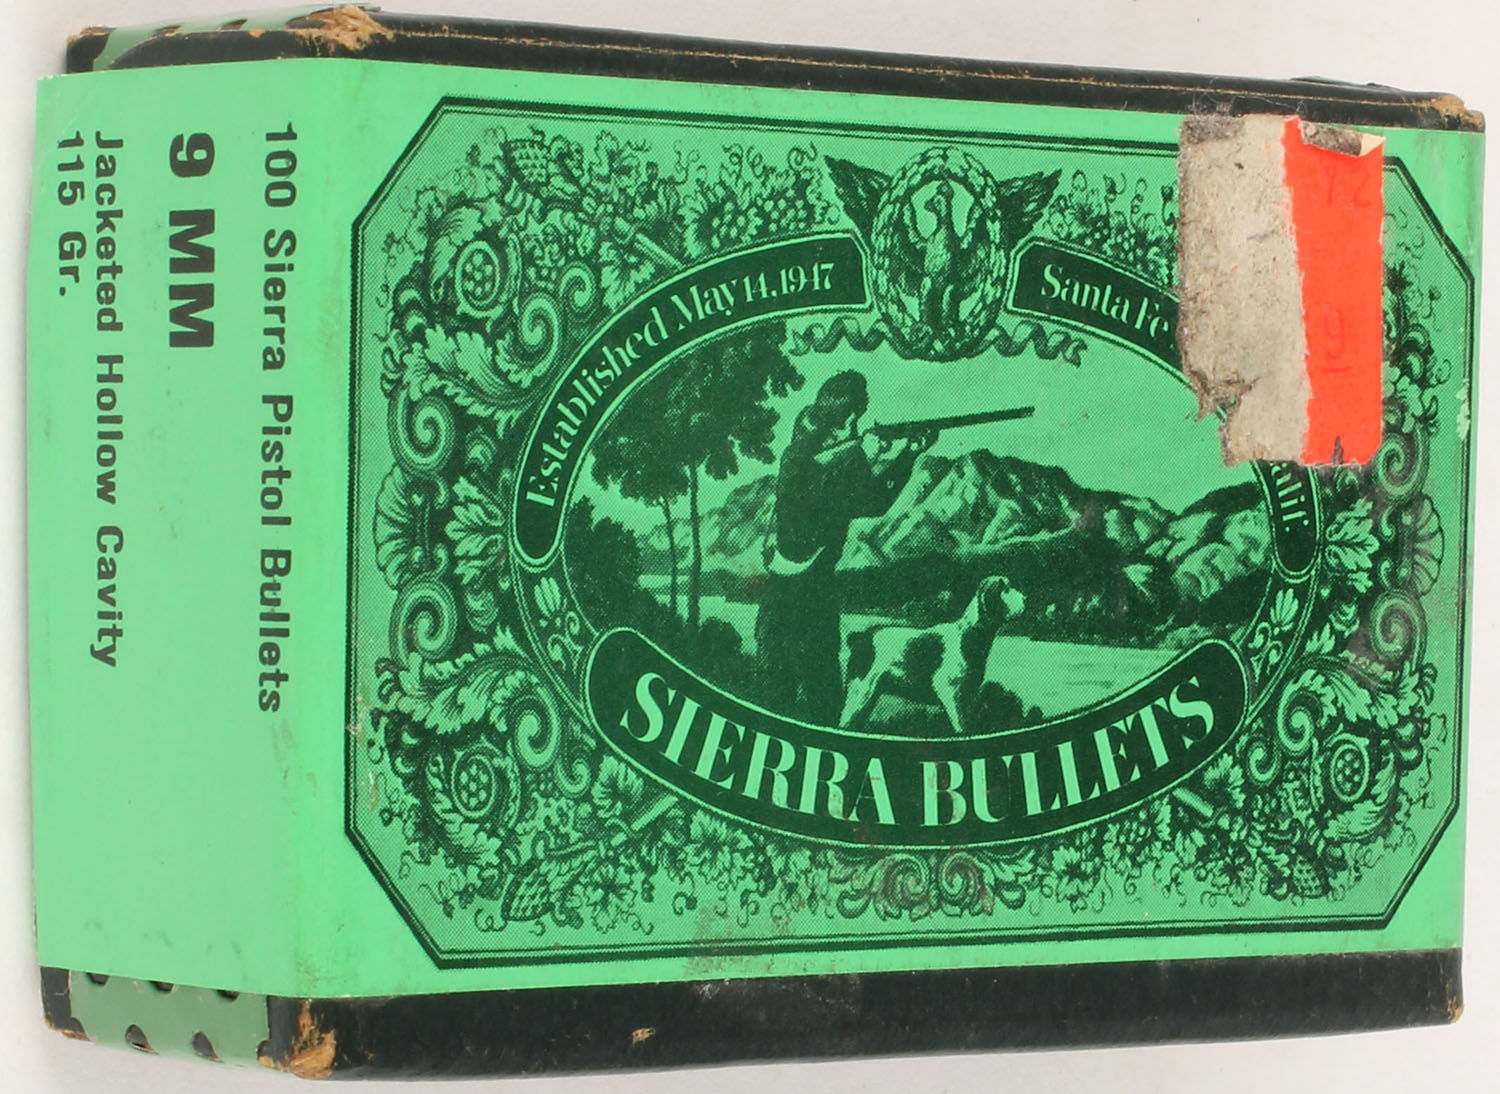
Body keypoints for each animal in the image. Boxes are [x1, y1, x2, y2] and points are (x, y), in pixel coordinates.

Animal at [839, 575, 1026, 734]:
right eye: (1005, 588)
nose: (1026, 598)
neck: (969, 634)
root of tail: (860, 637)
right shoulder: (951, 694)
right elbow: (961, 728)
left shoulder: (967, 696)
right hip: (860, 694)